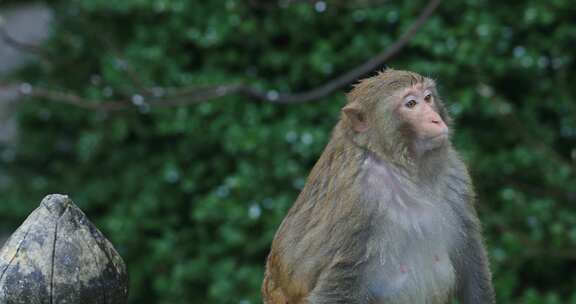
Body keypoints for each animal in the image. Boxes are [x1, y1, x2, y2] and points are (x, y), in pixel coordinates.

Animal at [264, 69, 492, 304]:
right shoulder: (359, 200)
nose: (435, 119)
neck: (402, 167)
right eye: (411, 104)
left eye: (428, 98)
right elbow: (339, 282)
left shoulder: (455, 173)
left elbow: (469, 255)